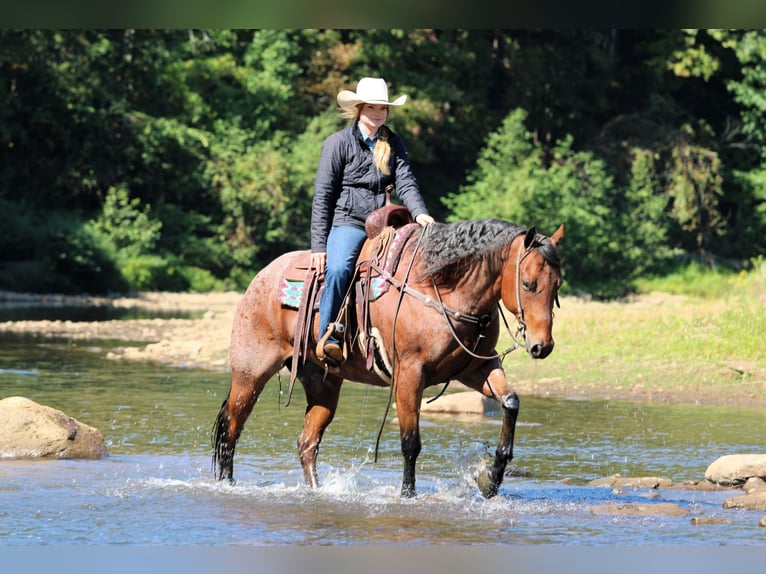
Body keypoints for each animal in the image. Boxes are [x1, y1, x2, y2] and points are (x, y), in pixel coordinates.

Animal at [212, 219, 564, 498]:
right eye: (528, 283)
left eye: (557, 285)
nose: (541, 346)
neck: (440, 289)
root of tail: (261, 278)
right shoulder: (410, 374)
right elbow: (410, 441)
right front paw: (408, 495)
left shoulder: (477, 367)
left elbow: (511, 402)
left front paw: (491, 478)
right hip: (251, 373)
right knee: (232, 427)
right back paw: (226, 484)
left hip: (323, 385)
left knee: (307, 442)